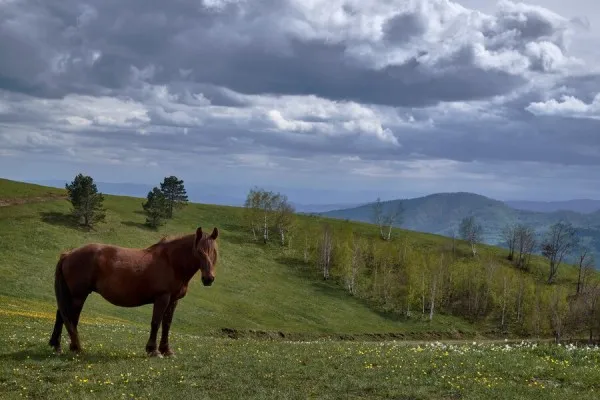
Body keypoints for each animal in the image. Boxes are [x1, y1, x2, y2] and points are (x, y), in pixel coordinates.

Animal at [47, 225, 220, 356]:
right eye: (199, 252)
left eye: (214, 252)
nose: (208, 279)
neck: (171, 262)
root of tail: (68, 254)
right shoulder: (162, 298)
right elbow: (156, 322)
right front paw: (153, 351)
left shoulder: (173, 300)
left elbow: (167, 324)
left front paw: (167, 351)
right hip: (78, 295)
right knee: (71, 318)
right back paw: (75, 347)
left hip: (71, 295)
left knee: (61, 315)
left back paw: (57, 346)